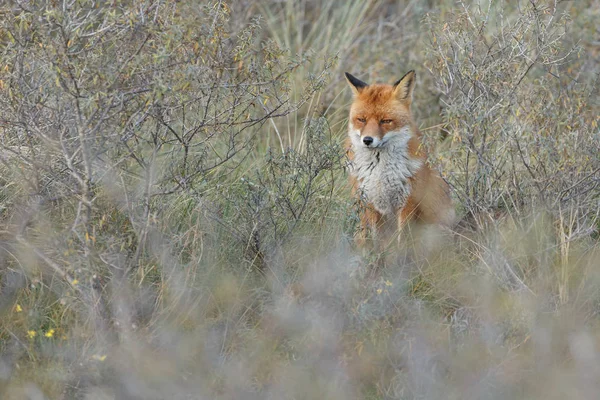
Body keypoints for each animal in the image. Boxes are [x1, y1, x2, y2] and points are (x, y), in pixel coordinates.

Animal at [344, 69, 452, 250]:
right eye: (362, 120)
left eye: (385, 121)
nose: (367, 140)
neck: (380, 171)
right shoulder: (370, 202)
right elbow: (375, 242)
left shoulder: (408, 202)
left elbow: (403, 241)